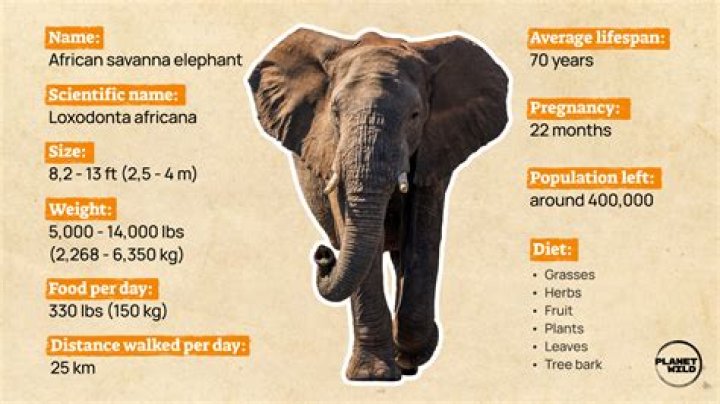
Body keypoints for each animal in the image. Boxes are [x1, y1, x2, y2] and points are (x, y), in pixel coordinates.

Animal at [248, 27, 509, 382]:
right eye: (335, 113)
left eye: (415, 116)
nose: (322, 255)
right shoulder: (330, 147)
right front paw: (372, 376)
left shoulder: (435, 145)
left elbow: (422, 235)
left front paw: (409, 352)